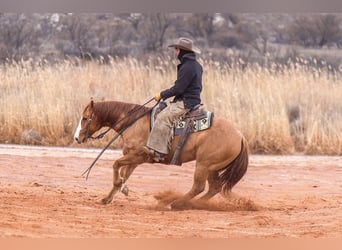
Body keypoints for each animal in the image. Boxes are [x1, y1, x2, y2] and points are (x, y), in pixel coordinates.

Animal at [74, 98, 248, 210]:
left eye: (85, 118)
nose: (76, 138)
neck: (134, 122)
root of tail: (240, 136)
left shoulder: (139, 155)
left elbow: (116, 164)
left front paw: (120, 188)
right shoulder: (133, 159)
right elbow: (124, 174)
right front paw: (108, 197)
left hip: (203, 165)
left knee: (198, 187)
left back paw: (176, 203)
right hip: (212, 168)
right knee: (214, 188)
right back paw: (190, 204)